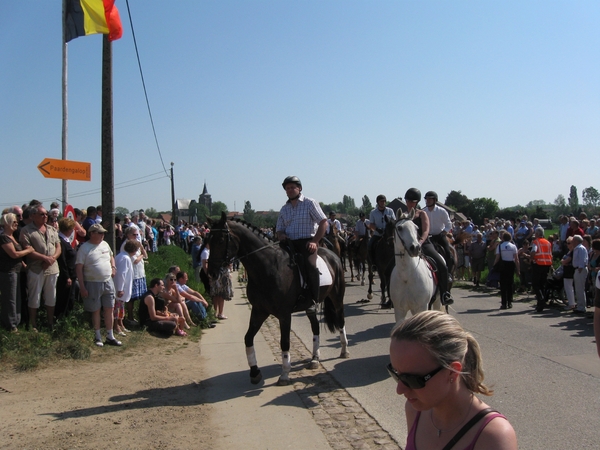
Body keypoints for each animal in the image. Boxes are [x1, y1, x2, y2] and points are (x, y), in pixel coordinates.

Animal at [207, 213, 350, 384]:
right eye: (209, 240)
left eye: (221, 240)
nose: (211, 273)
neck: (268, 268)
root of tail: (333, 255)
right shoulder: (259, 311)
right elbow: (248, 338)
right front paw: (254, 372)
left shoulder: (284, 315)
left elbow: (285, 342)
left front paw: (285, 374)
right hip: (310, 306)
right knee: (315, 327)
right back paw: (315, 359)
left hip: (337, 298)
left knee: (341, 321)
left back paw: (344, 350)